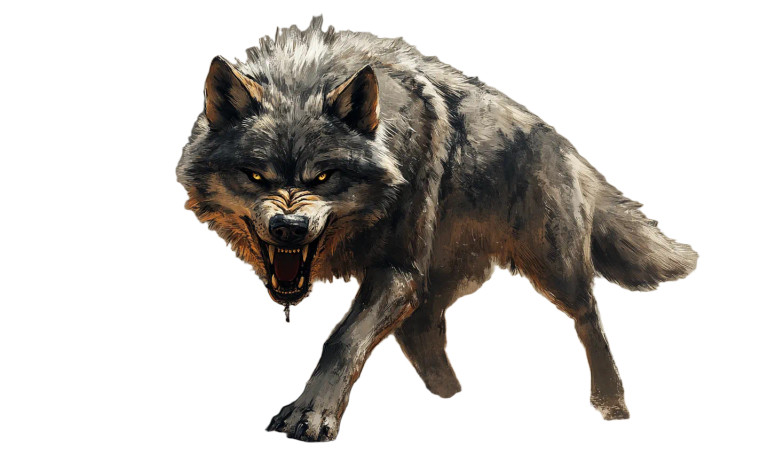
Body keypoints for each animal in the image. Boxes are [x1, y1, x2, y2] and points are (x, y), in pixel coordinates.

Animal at [176, 16, 697, 441]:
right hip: (446, 284)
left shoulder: (399, 269)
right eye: (255, 175)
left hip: (555, 269)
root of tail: (564, 144)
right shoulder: (405, 277)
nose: (289, 227)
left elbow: (343, 338)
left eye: (323, 177)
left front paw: (312, 414)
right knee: (424, 336)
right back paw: (454, 400)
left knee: (589, 315)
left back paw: (612, 405)